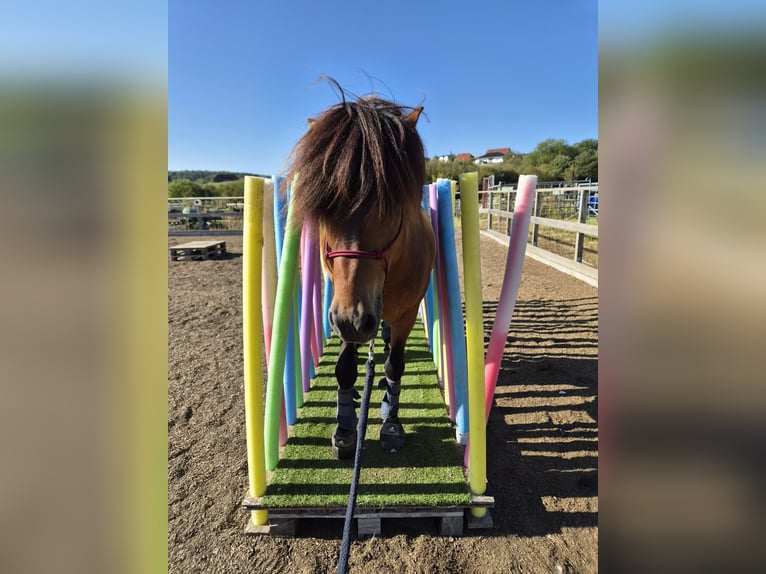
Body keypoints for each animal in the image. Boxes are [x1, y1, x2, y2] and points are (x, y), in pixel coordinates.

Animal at [287, 85, 435, 458]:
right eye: (325, 207)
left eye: (392, 205)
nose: (354, 320)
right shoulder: (341, 310)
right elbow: (344, 368)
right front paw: (344, 427)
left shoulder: (405, 314)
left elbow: (395, 364)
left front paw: (391, 423)